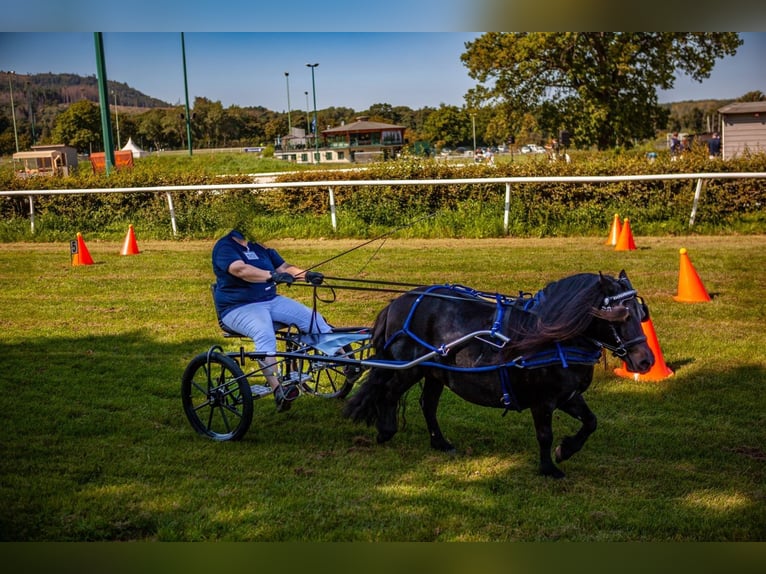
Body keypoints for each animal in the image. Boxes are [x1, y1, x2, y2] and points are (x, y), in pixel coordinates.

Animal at [344, 272, 656, 480]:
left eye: (640, 311)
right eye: (620, 315)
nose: (646, 361)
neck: (553, 337)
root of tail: (398, 302)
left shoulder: (568, 395)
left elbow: (591, 422)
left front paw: (565, 450)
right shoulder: (543, 401)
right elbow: (545, 434)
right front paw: (549, 468)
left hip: (436, 372)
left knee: (427, 405)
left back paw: (440, 443)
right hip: (409, 366)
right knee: (388, 392)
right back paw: (386, 431)